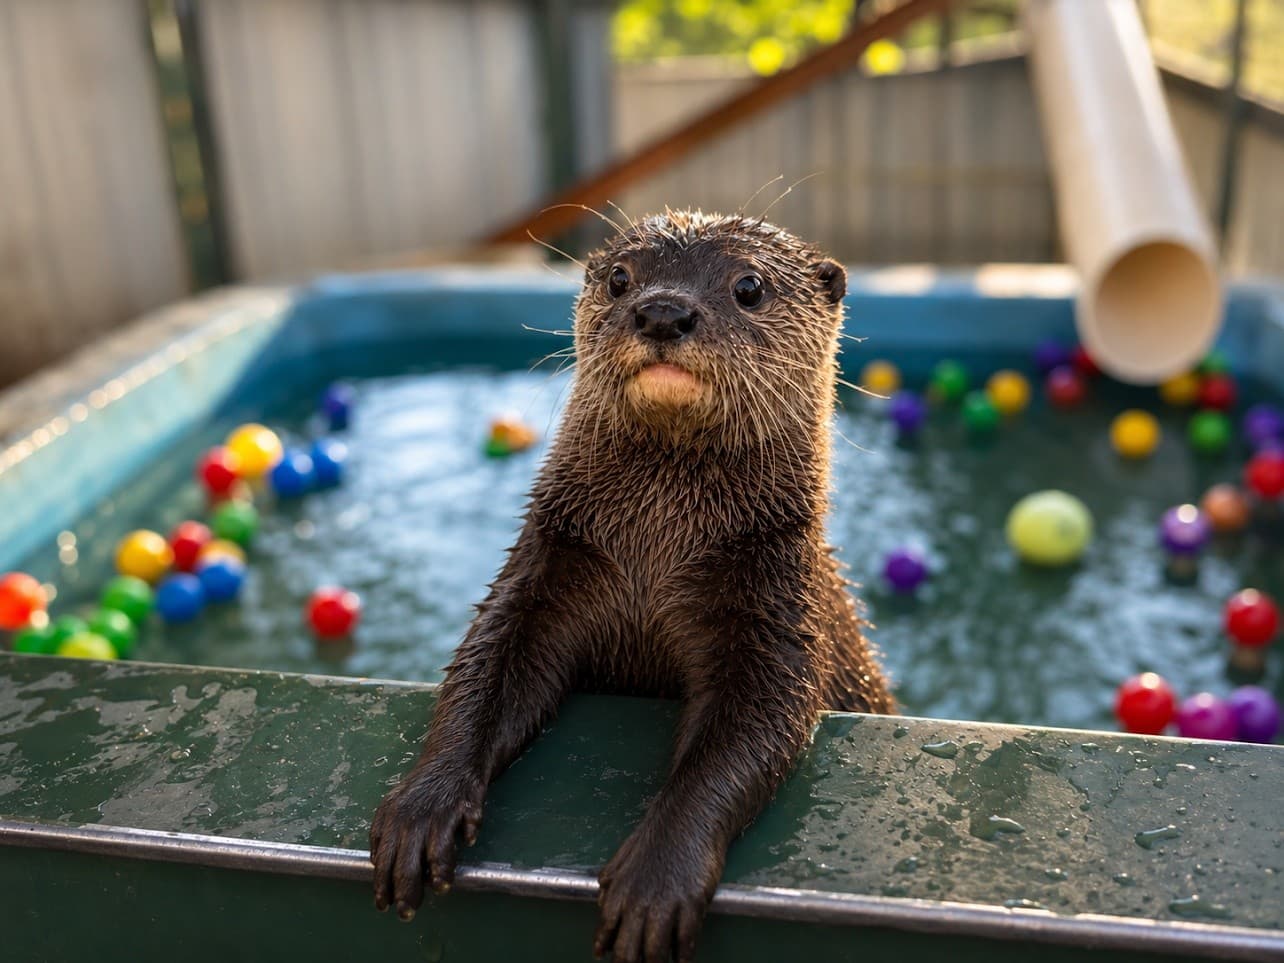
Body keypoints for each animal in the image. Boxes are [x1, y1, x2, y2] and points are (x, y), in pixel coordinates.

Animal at [370, 210, 894, 963]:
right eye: (621, 278)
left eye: (749, 285)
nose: (663, 311)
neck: (658, 547)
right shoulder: (545, 563)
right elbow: (481, 669)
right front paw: (422, 807)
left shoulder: (777, 602)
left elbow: (755, 724)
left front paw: (655, 881)